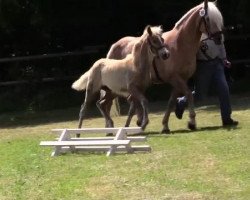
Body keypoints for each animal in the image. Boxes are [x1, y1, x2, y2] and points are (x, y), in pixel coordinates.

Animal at [98, 1, 224, 134]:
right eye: (208, 19)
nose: (219, 38)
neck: (179, 44)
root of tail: (114, 46)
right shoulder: (175, 79)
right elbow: (189, 94)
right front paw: (192, 122)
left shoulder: (180, 80)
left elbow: (171, 102)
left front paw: (165, 126)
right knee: (109, 104)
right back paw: (113, 127)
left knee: (126, 102)